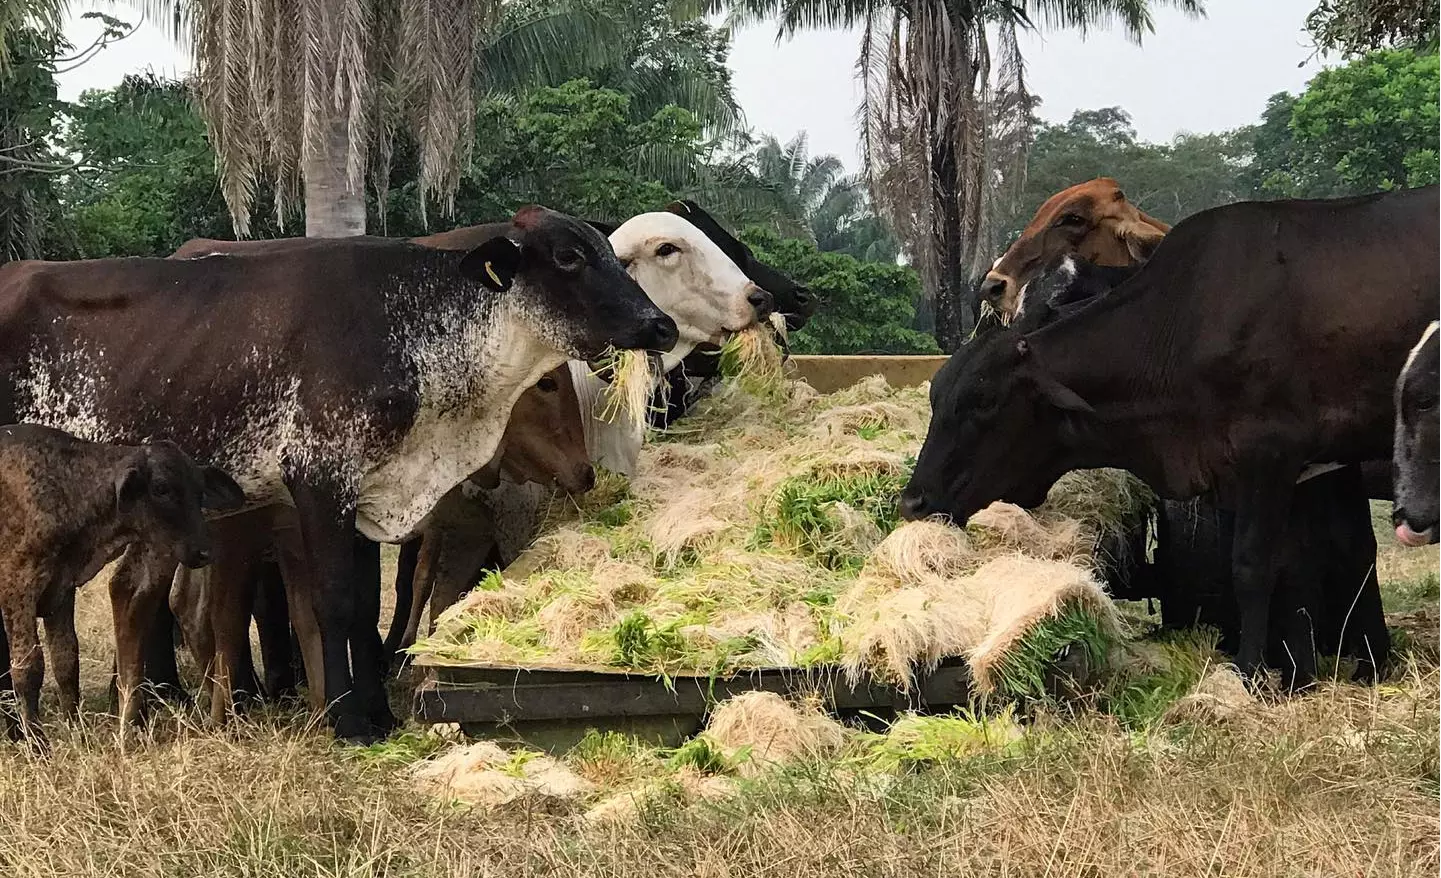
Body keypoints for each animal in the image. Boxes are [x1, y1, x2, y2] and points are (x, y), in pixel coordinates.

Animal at [0, 423, 242, 738]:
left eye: (200, 491)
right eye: (161, 488)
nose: (204, 551)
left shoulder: (61, 590)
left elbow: (66, 660)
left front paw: (77, 731)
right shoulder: (17, 589)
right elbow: (28, 668)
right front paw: (37, 741)